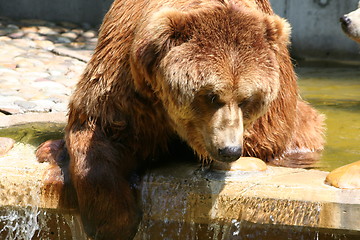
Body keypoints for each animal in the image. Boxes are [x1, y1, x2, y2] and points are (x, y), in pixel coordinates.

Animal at [35, 0, 324, 238]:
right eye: (211, 95)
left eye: (247, 98)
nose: (230, 149)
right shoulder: (125, 82)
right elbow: (99, 131)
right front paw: (114, 221)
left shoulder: (272, 117)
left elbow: (266, 142)